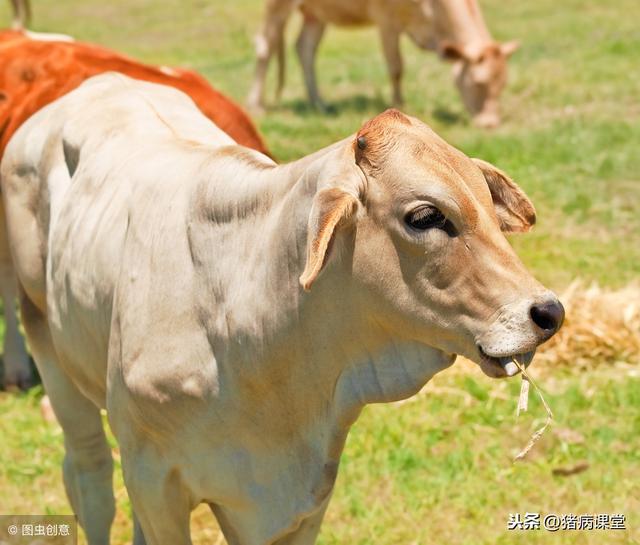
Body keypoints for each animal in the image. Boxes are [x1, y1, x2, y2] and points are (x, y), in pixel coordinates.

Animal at [1, 73, 560, 544]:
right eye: (425, 216)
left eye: (487, 205)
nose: (548, 313)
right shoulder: (154, 478)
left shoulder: (302, 499)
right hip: (50, 349)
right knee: (89, 477)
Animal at [248, 0, 516, 127]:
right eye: (478, 82)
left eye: (502, 86)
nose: (490, 124)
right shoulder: (386, 21)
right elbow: (396, 67)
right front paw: (400, 106)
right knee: (264, 45)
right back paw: (256, 105)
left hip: (315, 13)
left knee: (305, 48)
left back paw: (319, 103)